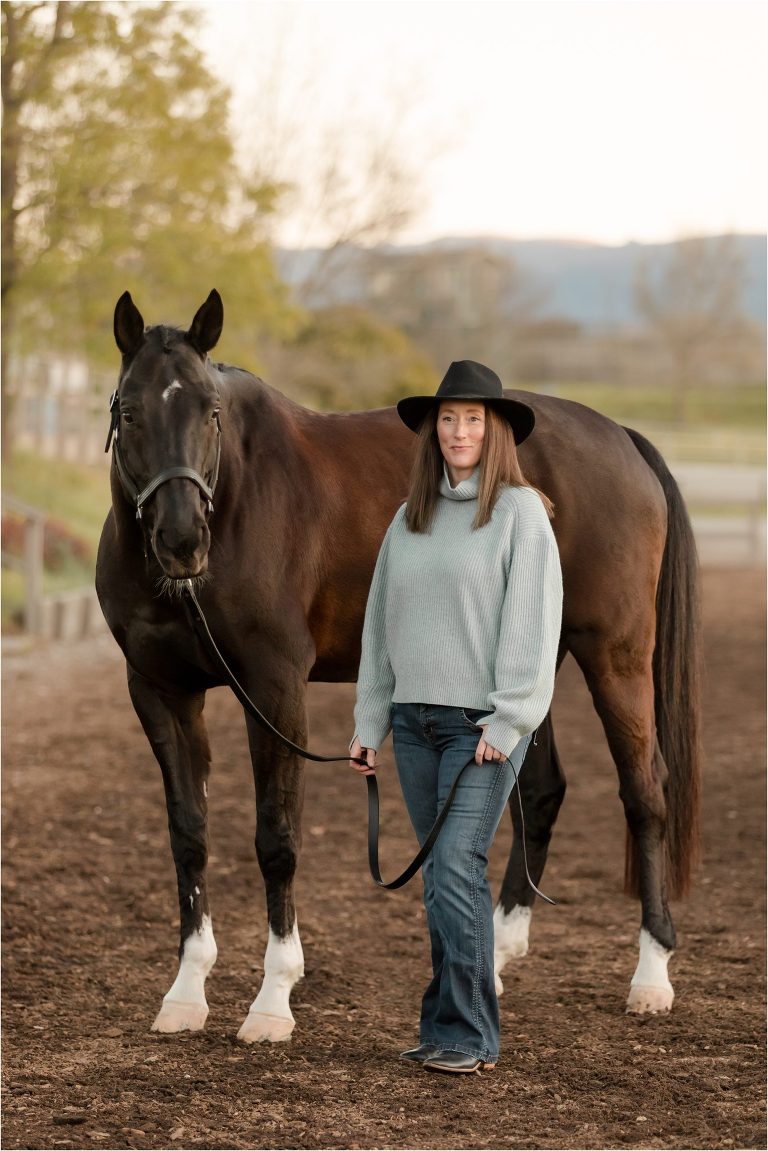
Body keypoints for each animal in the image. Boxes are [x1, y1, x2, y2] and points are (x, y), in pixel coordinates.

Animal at [95, 289, 700, 1043]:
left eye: (210, 411)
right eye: (129, 411)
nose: (182, 540)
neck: (236, 496)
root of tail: (620, 435)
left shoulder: (274, 688)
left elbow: (277, 838)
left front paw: (272, 1001)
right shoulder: (160, 691)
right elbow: (189, 836)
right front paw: (185, 993)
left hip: (614, 653)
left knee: (645, 794)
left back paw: (651, 975)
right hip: (527, 664)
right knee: (541, 790)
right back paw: (498, 953)